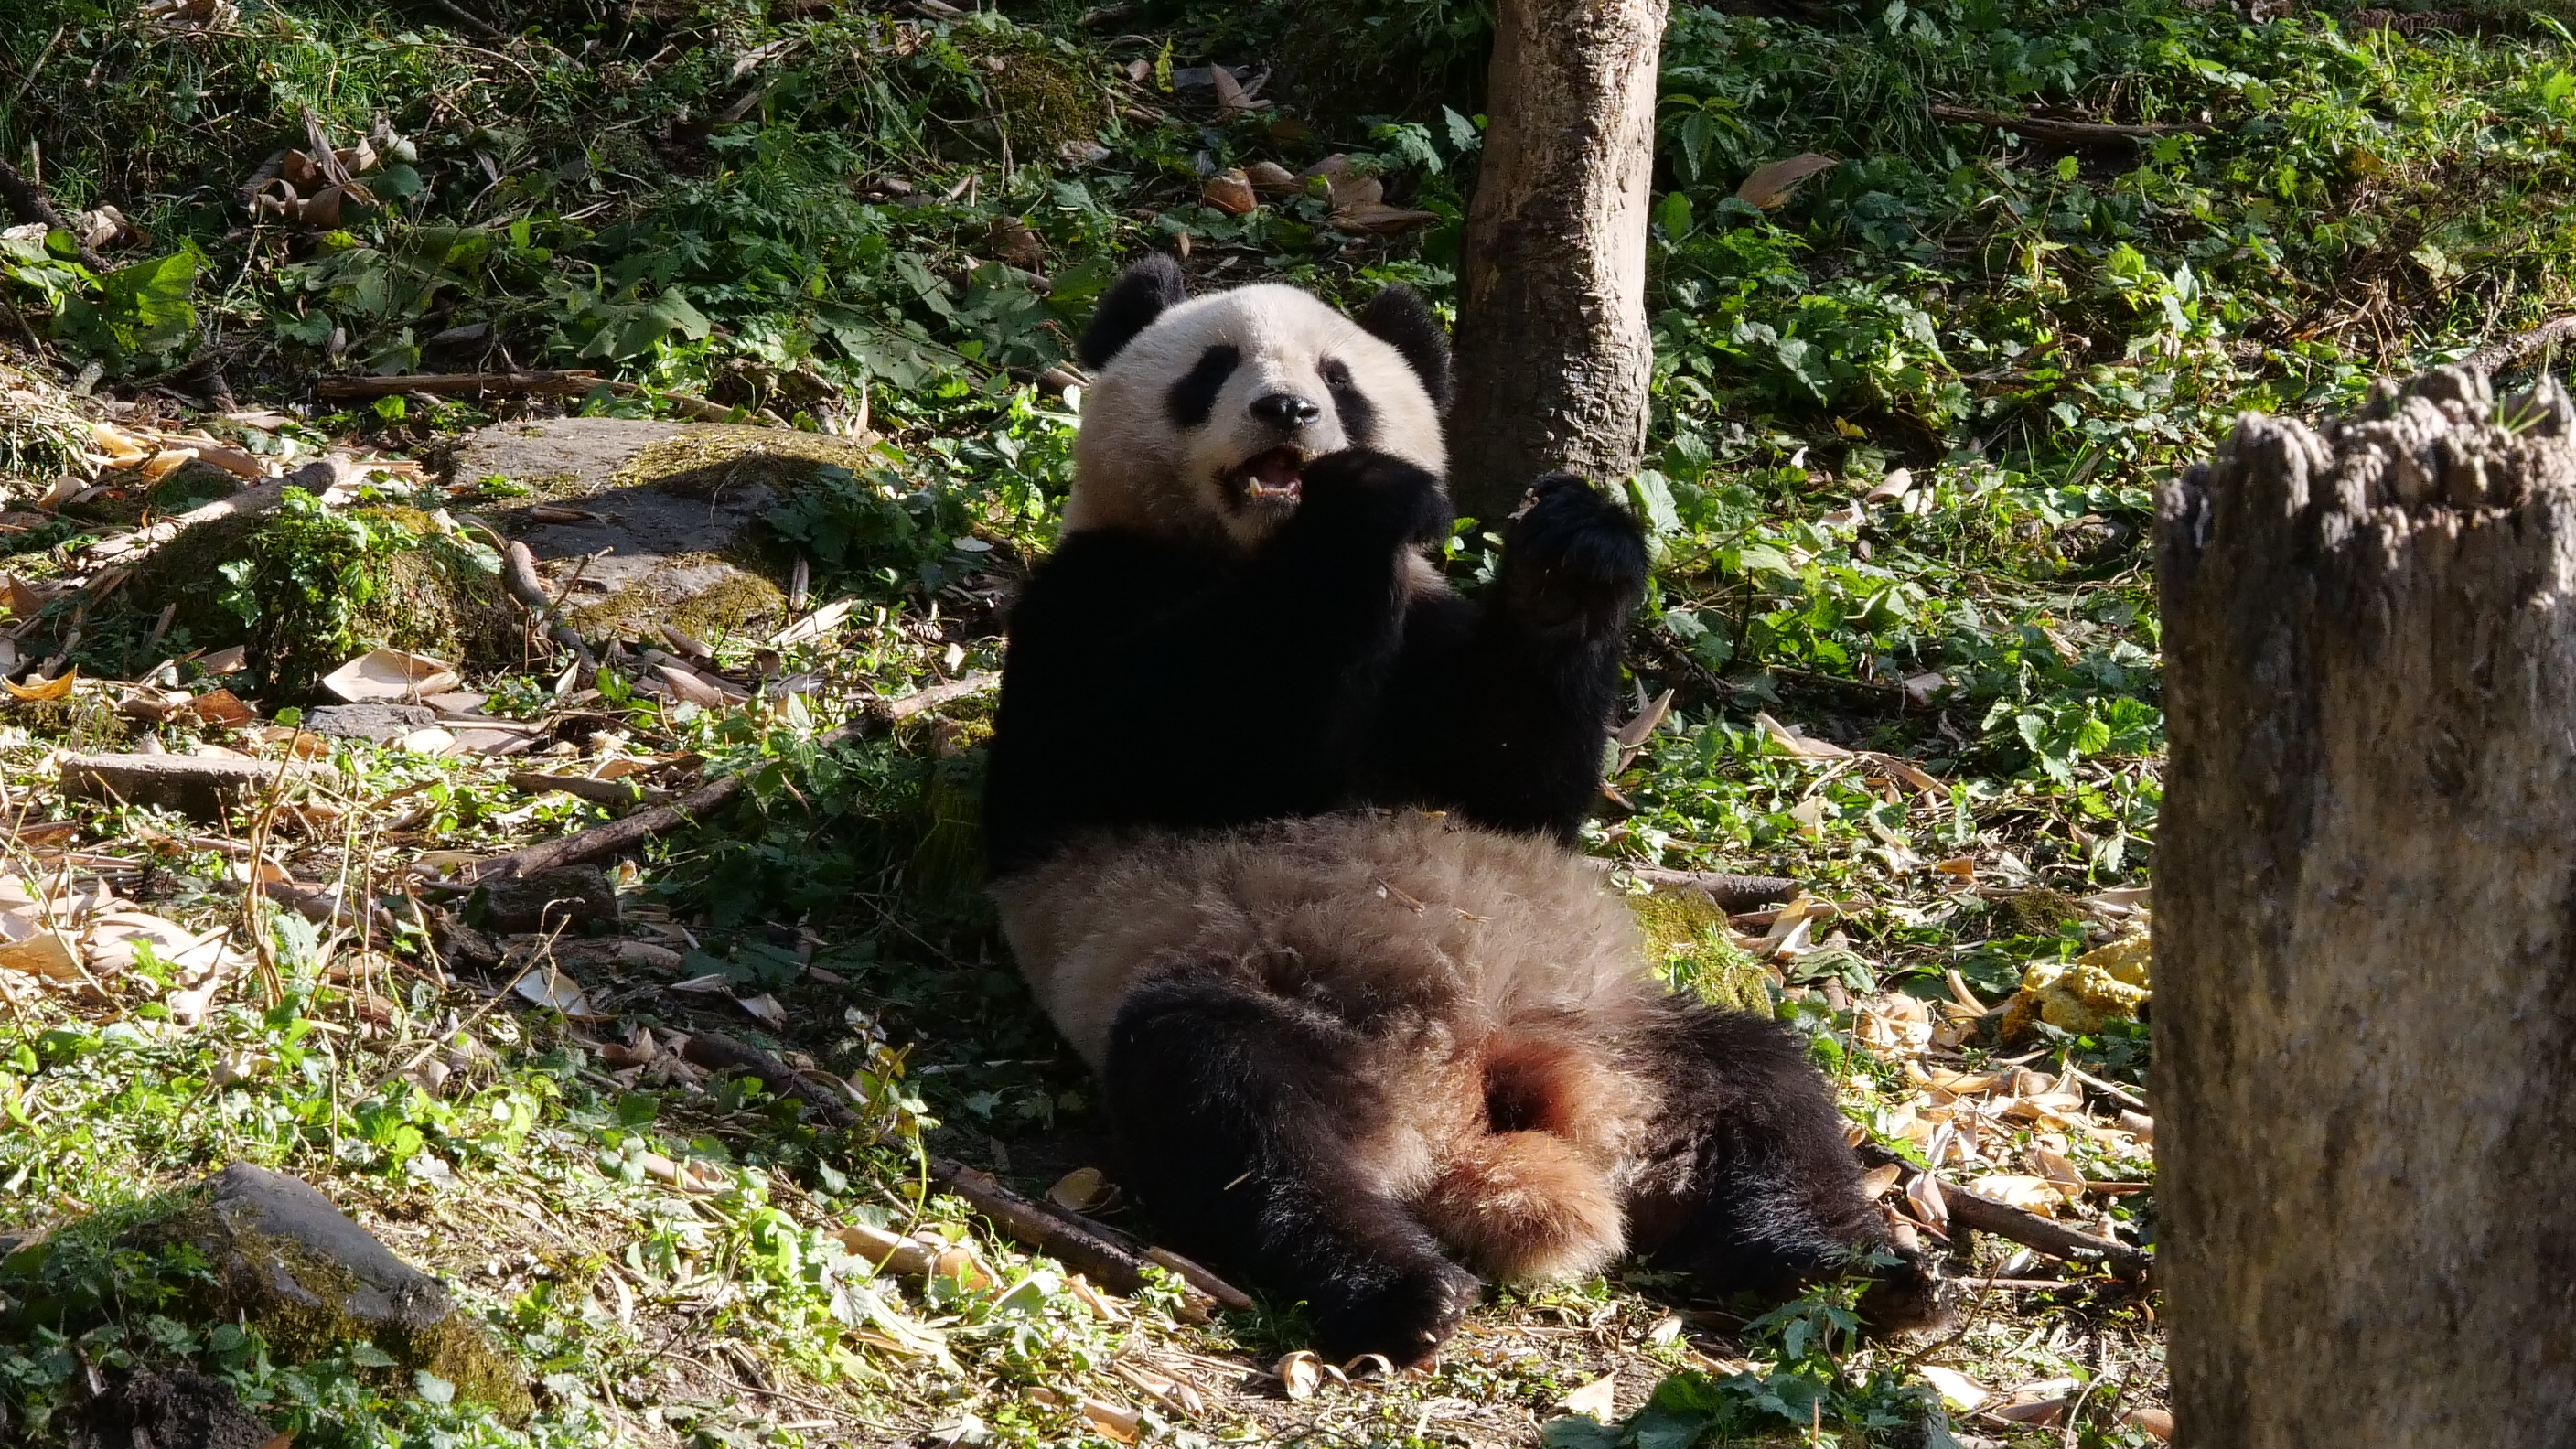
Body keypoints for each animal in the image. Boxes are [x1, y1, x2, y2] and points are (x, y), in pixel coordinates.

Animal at [979, 253, 1937, 1361]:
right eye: (1212, 367)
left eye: (1338, 377)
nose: (1287, 409)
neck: (1249, 550)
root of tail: (1455, 1099)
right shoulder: (1082, 606)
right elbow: (1183, 741)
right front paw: (1364, 501)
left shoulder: (1432, 631)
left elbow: (1510, 793)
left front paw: (1573, 554)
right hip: (1260, 1000)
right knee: (1231, 1109)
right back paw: (1401, 1287)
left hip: (1617, 1031)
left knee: (1762, 1087)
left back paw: (1859, 1271)